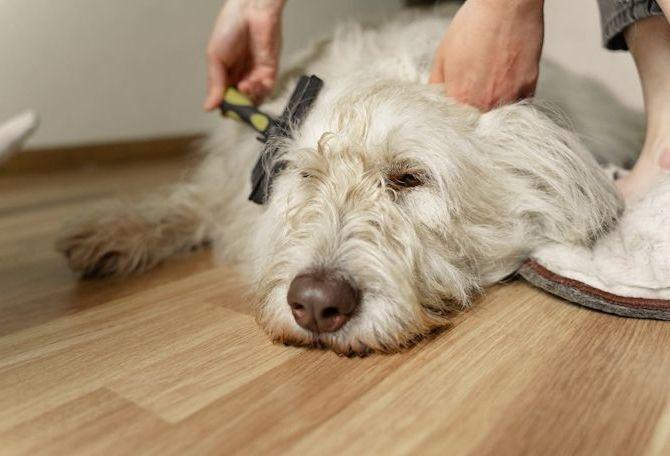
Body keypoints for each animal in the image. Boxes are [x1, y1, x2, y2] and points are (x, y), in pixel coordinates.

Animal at [57, 8, 640, 354]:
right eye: (307, 175)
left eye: (409, 179)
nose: (315, 304)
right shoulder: (225, 187)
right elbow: (189, 204)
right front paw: (113, 232)